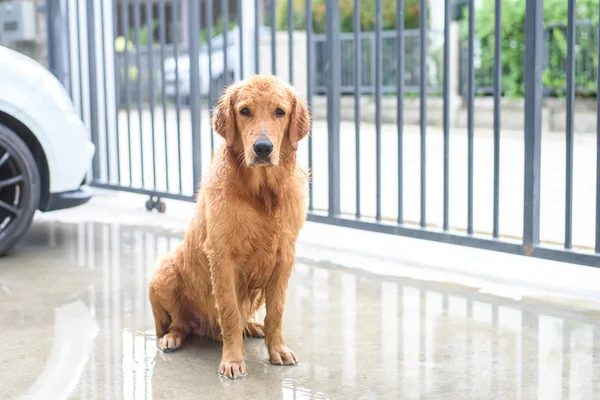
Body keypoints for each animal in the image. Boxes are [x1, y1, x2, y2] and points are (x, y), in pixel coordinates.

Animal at [149, 74, 310, 378]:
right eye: (244, 111)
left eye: (279, 112)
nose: (262, 148)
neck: (262, 194)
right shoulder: (222, 257)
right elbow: (229, 312)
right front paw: (233, 361)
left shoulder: (285, 255)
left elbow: (276, 311)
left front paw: (277, 349)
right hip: (163, 273)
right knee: (178, 323)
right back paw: (172, 338)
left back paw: (253, 326)